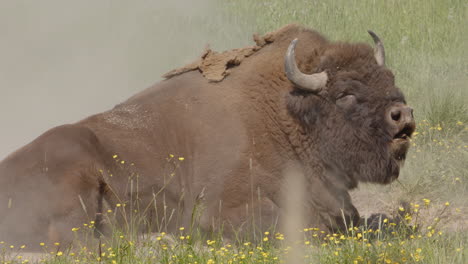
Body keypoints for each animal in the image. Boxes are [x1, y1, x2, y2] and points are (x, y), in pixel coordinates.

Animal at [0, 24, 416, 248]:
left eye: (389, 78)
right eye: (346, 94)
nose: (403, 115)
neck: (287, 115)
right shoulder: (227, 208)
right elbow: (304, 226)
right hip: (75, 170)